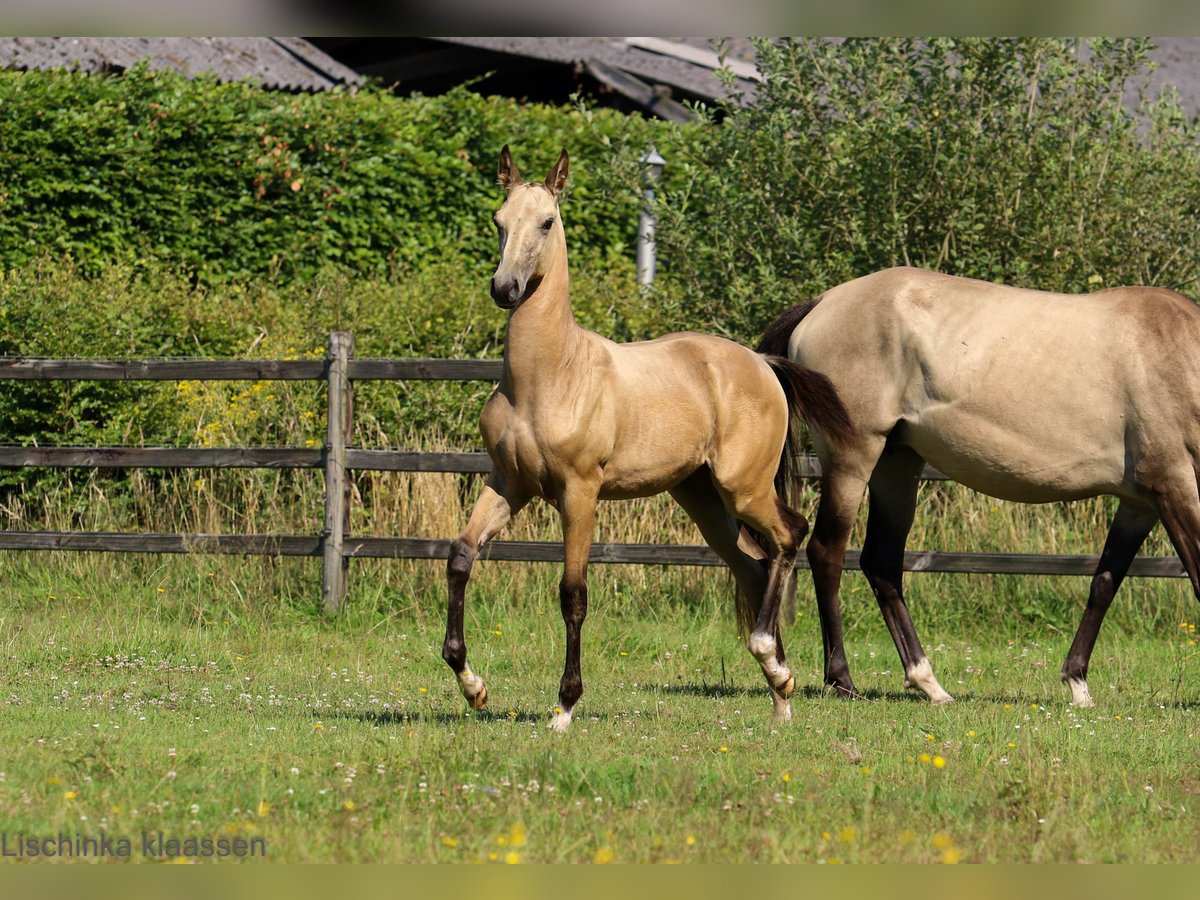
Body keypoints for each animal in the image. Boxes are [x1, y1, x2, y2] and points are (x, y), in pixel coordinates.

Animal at [444, 144, 854, 729]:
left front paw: (564, 706)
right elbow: (460, 556)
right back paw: (781, 691)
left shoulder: (579, 493)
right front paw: (473, 687)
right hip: (703, 500)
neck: (550, 377)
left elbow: (573, 594)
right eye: (498, 221)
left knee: (789, 536)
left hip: (743, 488)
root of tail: (762, 363)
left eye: (547, 222)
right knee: (753, 567)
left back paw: (773, 667)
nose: (505, 289)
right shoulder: (509, 484)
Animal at [763, 264, 1200, 710]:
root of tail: (821, 303)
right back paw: (843, 680)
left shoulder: (1139, 504)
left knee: (881, 563)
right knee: (827, 554)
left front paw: (1077, 682)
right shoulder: (1173, 485)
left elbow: (1104, 583)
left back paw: (929, 683)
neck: (1180, 357)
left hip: (896, 464)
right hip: (852, 458)